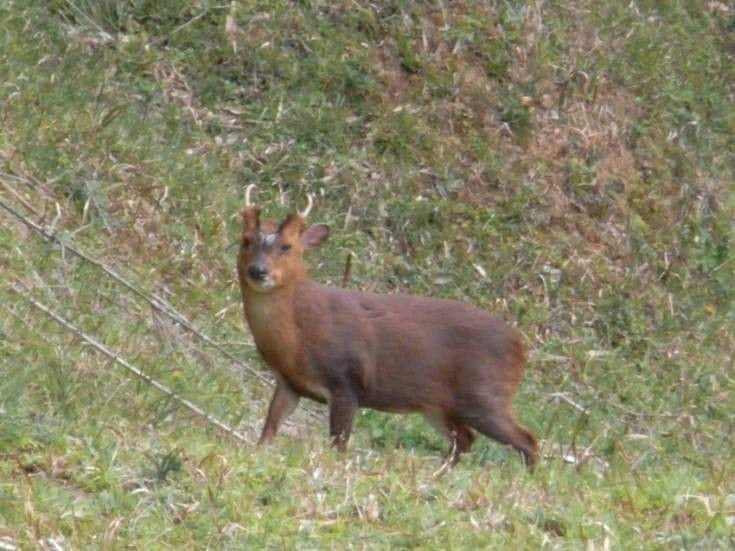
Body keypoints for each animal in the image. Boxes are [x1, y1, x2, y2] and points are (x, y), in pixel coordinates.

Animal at [239, 188, 536, 468]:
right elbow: (268, 431)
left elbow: (339, 446)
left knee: (527, 440)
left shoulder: (347, 381)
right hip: (438, 405)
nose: (258, 270)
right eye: (246, 241)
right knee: (464, 438)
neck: (300, 337)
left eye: (287, 246)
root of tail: (522, 346)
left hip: (486, 395)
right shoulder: (289, 382)